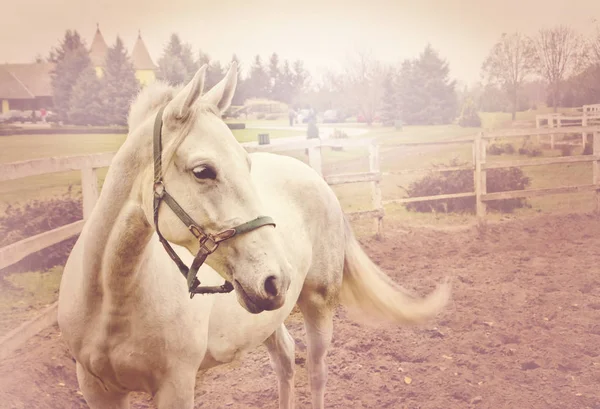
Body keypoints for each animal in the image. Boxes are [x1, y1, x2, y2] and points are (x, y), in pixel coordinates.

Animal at [58, 63, 450, 408]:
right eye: (203, 171)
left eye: (247, 165)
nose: (278, 278)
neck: (112, 302)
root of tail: (315, 177)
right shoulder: (97, 390)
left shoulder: (177, 388)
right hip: (264, 316)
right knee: (286, 360)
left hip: (318, 305)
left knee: (316, 372)